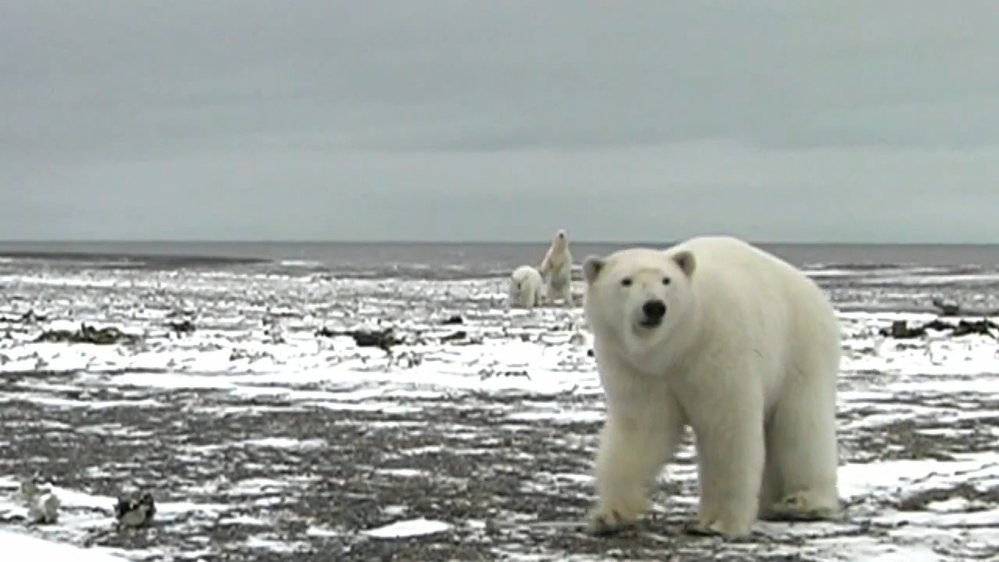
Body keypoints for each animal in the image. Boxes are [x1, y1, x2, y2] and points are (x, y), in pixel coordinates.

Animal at [580, 234, 844, 536]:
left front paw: (717, 522)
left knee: (801, 423)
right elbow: (642, 429)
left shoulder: (716, 348)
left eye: (666, 280)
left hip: (801, 347)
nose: (654, 307)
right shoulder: (635, 368)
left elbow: (727, 426)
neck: (678, 344)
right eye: (626, 281)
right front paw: (609, 516)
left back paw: (804, 501)